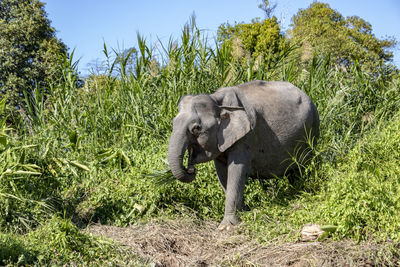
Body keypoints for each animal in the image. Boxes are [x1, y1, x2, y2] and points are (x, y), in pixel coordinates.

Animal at [166, 80, 318, 229]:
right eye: (173, 122)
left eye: (197, 128)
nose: (190, 169)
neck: (217, 100)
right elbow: (222, 172)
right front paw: (245, 213)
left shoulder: (246, 137)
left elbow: (236, 170)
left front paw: (227, 227)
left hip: (313, 129)